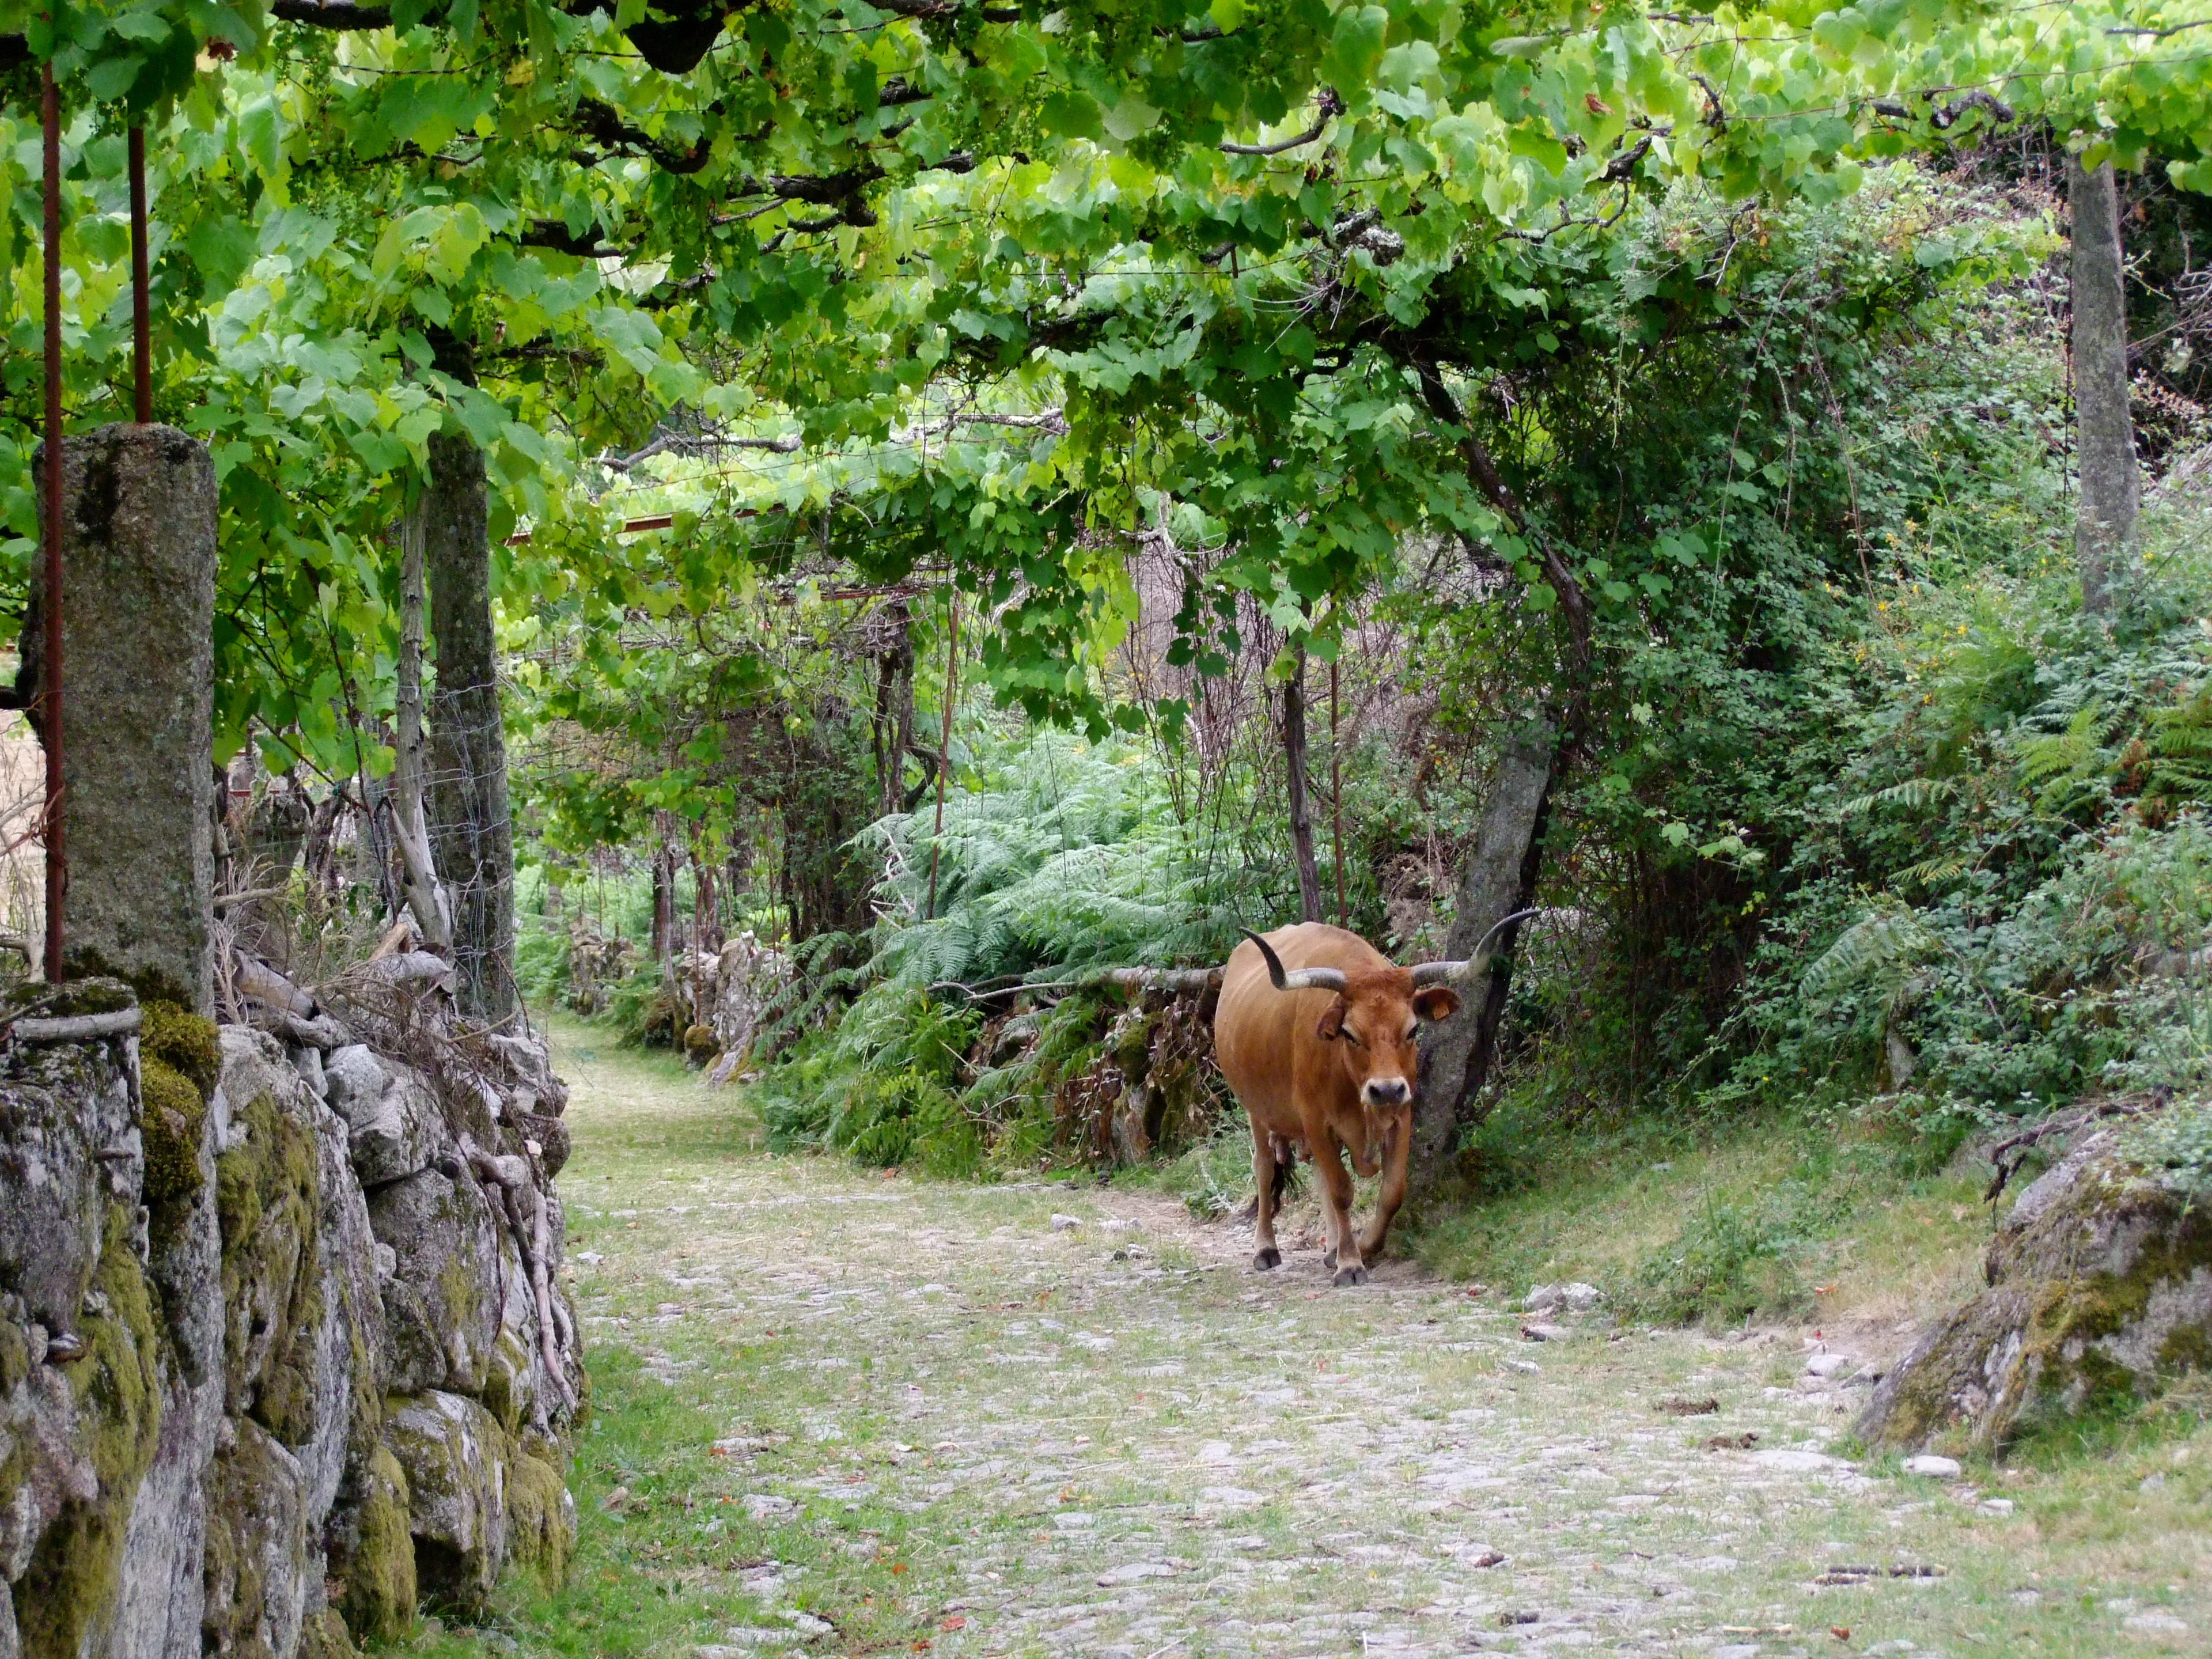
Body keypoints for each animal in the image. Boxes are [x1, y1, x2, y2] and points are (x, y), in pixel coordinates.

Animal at [1211, 914, 1532, 1286]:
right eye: (1350, 1034)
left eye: (1412, 1030)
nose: (1387, 1090)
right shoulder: (1316, 1121)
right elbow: (1341, 1190)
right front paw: (1350, 1264)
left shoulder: (1400, 1117)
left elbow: (1392, 1192)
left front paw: (1362, 1247)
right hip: (1256, 1111)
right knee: (1264, 1169)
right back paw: (1266, 1248)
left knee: (1317, 1174)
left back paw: (1332, 1246)